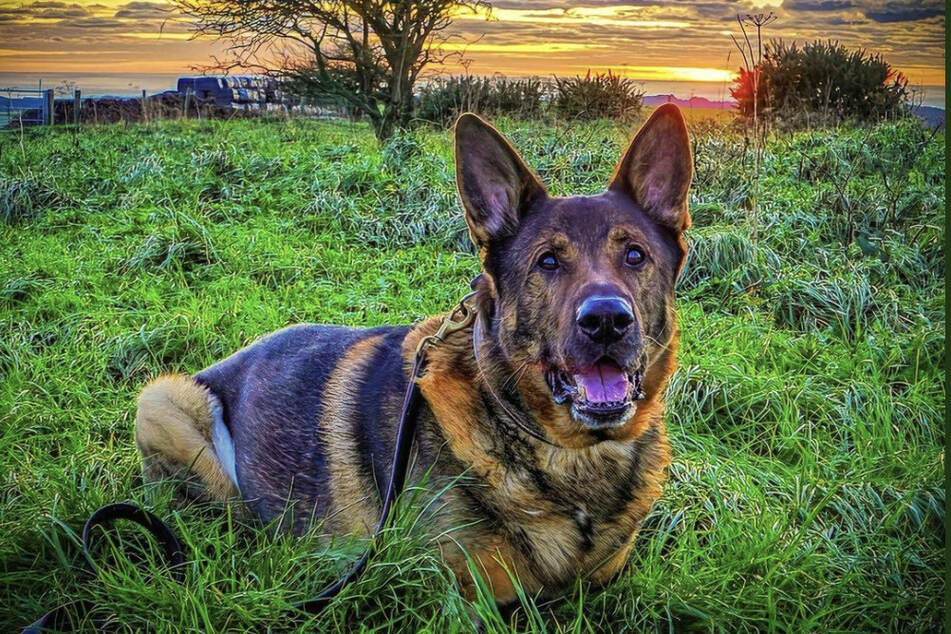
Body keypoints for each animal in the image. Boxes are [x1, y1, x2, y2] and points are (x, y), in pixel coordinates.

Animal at [134, 103, 692, 604]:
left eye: (635, 255)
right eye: (548, 262)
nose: (607, 321)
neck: (567, 452)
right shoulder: (456, 597)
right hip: (165, 399)